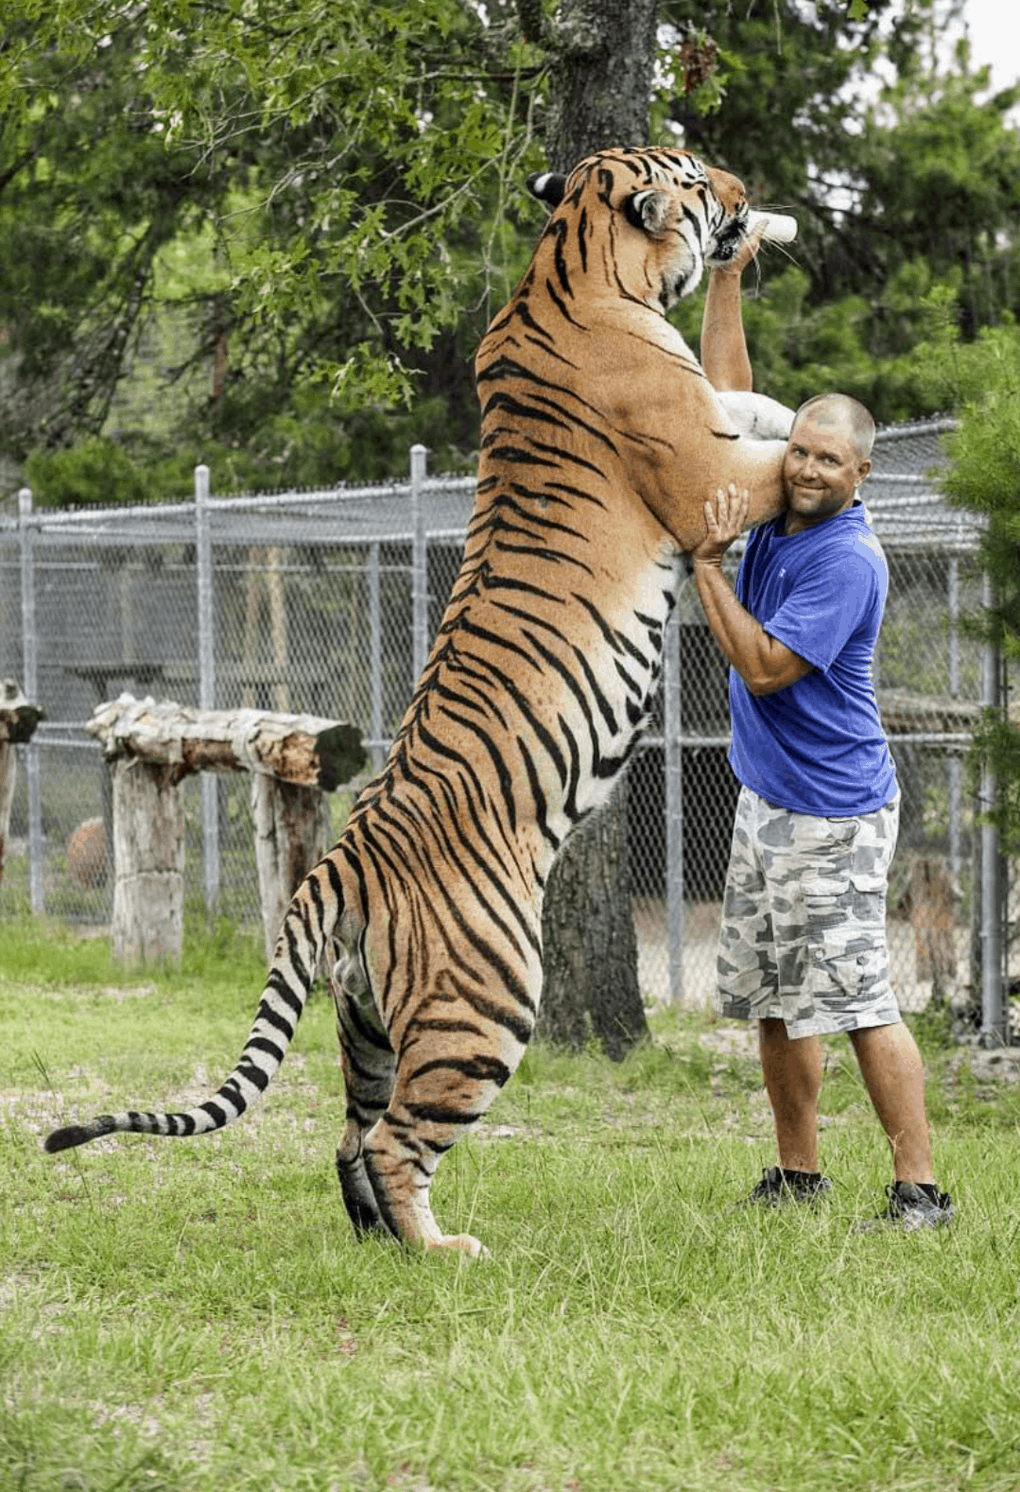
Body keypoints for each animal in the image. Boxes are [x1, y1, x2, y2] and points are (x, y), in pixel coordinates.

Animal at [47, 148, 793, 1259]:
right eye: (701, 178)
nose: (747, 195)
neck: (573, 262)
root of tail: (338, 864)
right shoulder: (703, 471)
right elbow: (775, 459)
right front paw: (840, 441)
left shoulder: (710, 416)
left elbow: (758, 409)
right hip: (487, 1004)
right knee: (400, 1140)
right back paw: (443, 1251)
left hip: (366, 1022)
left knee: (351, 1134)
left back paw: (381, 1247)